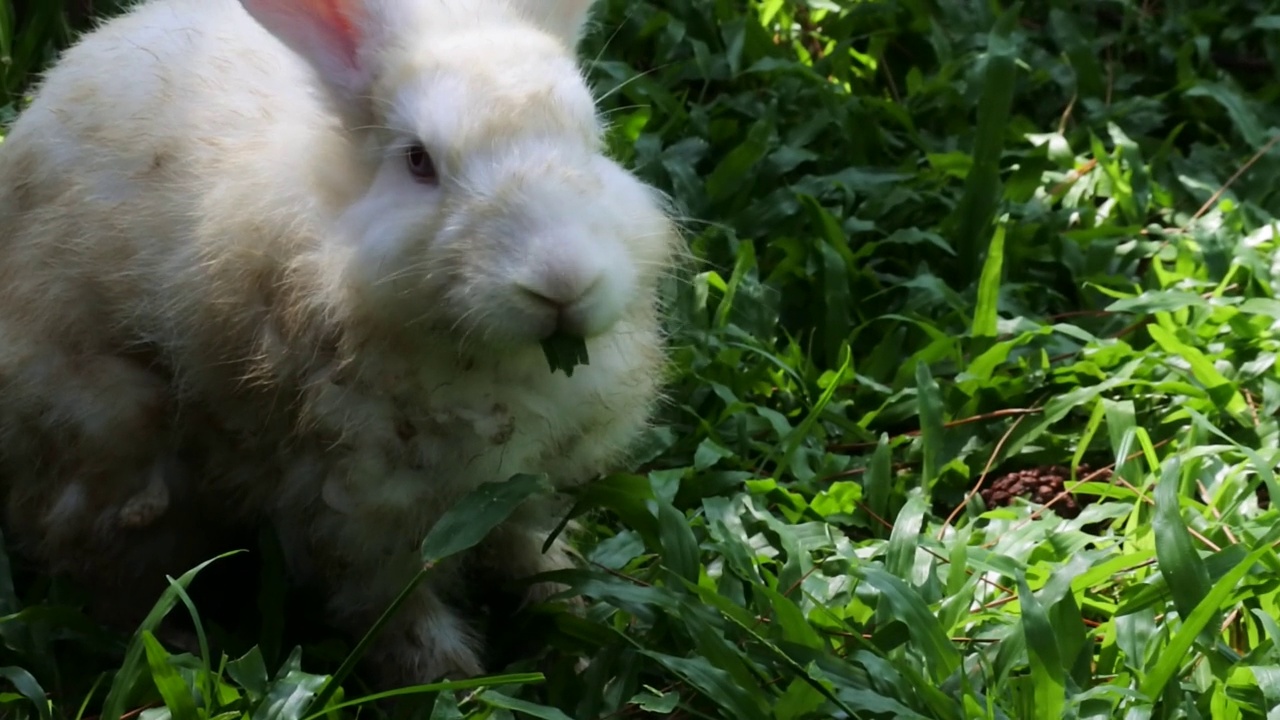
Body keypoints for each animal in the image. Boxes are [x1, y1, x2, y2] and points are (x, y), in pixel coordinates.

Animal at [0, 0, 680, 681]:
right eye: (418, 161)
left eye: (592, 141)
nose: (562, 282)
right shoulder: (356, 512)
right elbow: (393, 608)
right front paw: (452, 678)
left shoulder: (520, 488)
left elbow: (527, 547)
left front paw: (575, 611)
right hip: (113, 449)